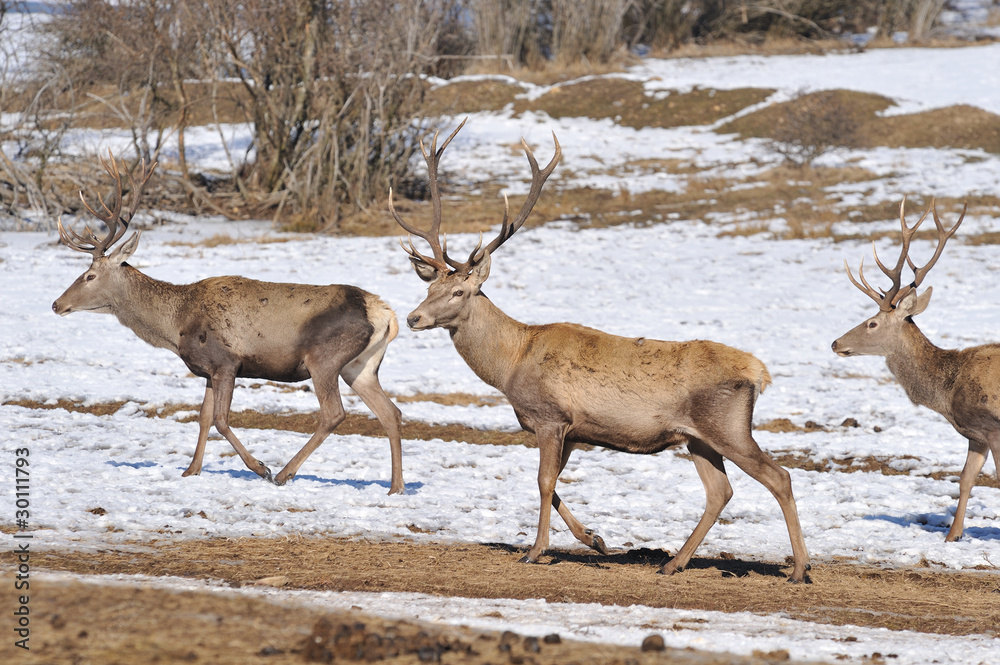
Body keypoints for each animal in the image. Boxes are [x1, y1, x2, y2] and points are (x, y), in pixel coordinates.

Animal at [52, 155, 405, 493]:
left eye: (90, 275)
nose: (57, 304)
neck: (176, 325)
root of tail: (384, 313)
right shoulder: (208, 370)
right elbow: (204, 417)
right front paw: (190, 470)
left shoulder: (226, 361)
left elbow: (221, 419)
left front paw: (260, 468)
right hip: (359, 366)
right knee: (390, 412)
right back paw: (395, 487)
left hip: (324, 358)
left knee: (334, 413)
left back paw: (284, 473)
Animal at [389, 120, 811, 583]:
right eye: (430, 286)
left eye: (459, 291)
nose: (412, 317)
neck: (510, 364)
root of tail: (759, 372)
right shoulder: (574, 430)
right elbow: (555, 484)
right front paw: (596, 539)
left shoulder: (550, 416)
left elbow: (543, 482)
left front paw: (536, 551)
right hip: (697, 438)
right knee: (720, 491)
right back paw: (673, 562)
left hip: (729, 428)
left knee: (780, 477)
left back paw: (799, 568)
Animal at [832, 197, 999, 541]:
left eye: (872, 323)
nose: (835, 343)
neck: (948, 393)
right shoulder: (975, 434)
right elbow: (965, 480)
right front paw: (952, 537)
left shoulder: (995, 427)